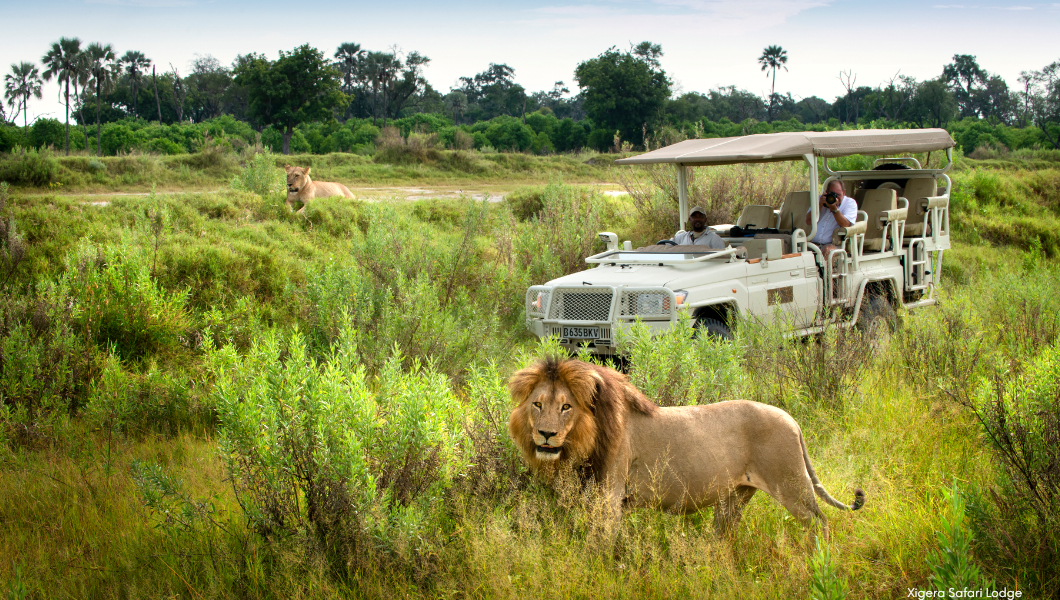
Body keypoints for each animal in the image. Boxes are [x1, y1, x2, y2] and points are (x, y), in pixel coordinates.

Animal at [508, 360, 864, 538]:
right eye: (538, 404)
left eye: (566, 406)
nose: (546, 435)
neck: (584, 440)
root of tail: (793, 421)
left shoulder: (609, 497)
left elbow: (600, 547)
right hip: (736, 497)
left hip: (792, 487)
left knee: (822, 524)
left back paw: (821, 564)